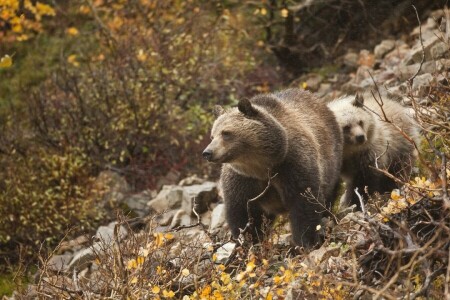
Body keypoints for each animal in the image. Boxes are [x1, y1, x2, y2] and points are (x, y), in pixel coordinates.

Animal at [202, 89, 342, 248]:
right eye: (212, 136)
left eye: (226, 133)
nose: (207, 152)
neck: (261, 166)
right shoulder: (242, 179)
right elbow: (241, 211)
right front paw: (248, 241)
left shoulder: (292, 163)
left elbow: (304, 201)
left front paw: (307, 240)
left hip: (332, 159)